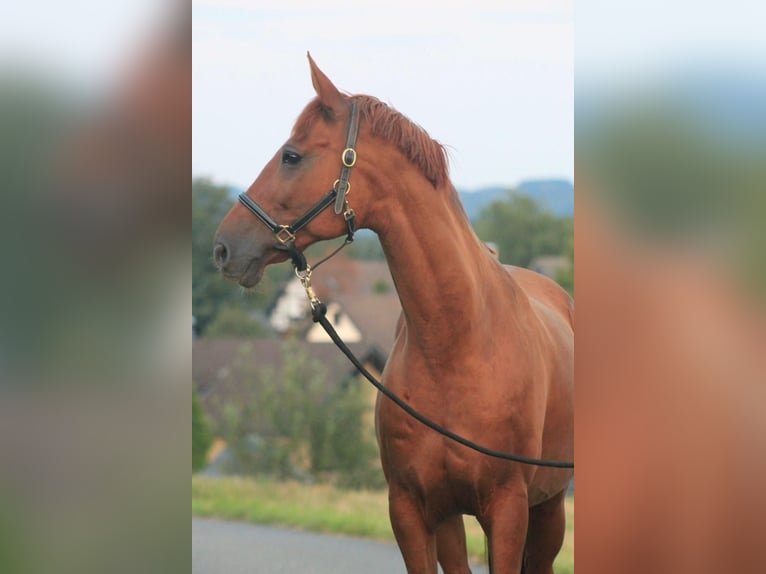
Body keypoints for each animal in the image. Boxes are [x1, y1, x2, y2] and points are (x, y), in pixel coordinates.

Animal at [213, 55, 572, 574]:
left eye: (291, 156)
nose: (224, 247)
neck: (456, 346)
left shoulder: (508, 510)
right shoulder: (410, 509)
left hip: (548, 511)